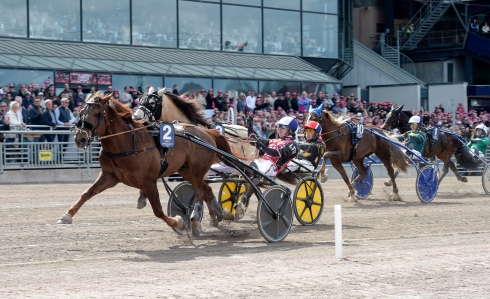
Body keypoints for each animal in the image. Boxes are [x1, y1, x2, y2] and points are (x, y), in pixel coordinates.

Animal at [56, 92, 238, 238]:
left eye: (96, 113)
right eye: (80, 112)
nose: (79, 139)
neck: (127, 142)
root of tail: (207, 132)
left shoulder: (149, 181)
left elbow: (158, 211)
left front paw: (179, 222)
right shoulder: (110, 176)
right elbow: (87, 193)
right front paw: (67, 215)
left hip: (197, 170)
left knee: (200, 193)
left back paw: (195, 221)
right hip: (186, 170)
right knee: (206, 191)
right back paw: (215, 216)